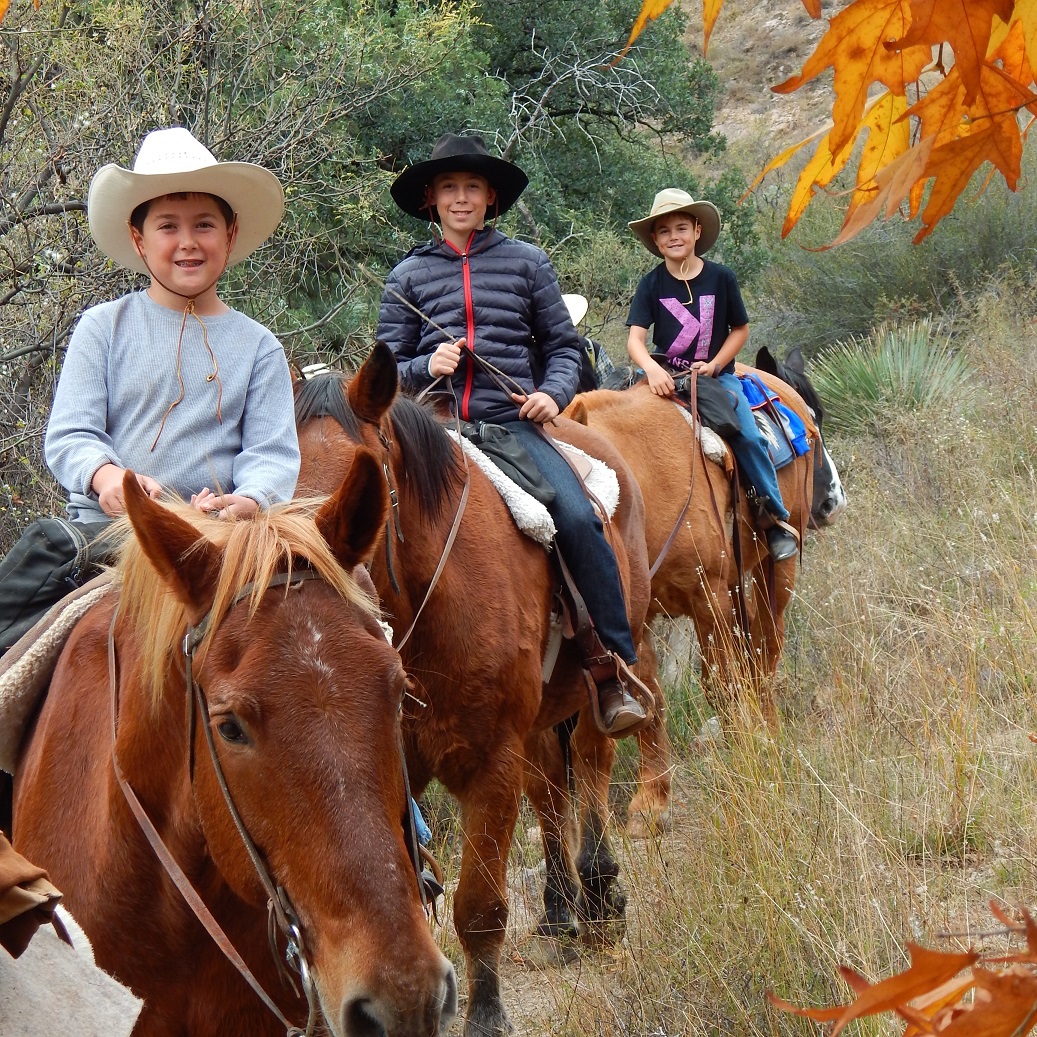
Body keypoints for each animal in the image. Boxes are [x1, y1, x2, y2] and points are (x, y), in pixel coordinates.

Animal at [292, 342, 647, 1037]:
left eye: (364, 489)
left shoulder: (489, 760)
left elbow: (479, 904)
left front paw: (485, 1013)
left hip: (602, 681)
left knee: (592, 762)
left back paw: (598, 894)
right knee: (550, 787)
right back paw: (560, 911)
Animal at [568, 354, 842, 825]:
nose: (831, 500)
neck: (642, 483)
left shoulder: (707, 595)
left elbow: (720, 682)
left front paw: (748, 749)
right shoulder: (638, 621)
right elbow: (654, 701)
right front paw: (653, 800)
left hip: (775, 567)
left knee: (768, 643)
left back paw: (767, 723)